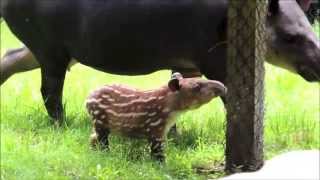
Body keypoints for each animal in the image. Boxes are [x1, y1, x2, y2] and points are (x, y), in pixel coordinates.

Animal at [0, 0, 320, 123]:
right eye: (290, 37)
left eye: (310, 27)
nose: (319, 64)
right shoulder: (214, 58)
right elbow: (231, 97)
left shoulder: (188, 62)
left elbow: (176, 89)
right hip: (51, 46)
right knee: (50, 90)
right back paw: (63, 124)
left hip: (56, 50)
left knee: (10, 58)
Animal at [86, 73, 226, 162]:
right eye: (196, 86)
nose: (223, 87)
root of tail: (88, 98)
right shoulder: (155, 129)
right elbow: (157, 153)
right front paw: (162, 167)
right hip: (101, 120)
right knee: (102, 140)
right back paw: (105, 153)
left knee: (93, 136)